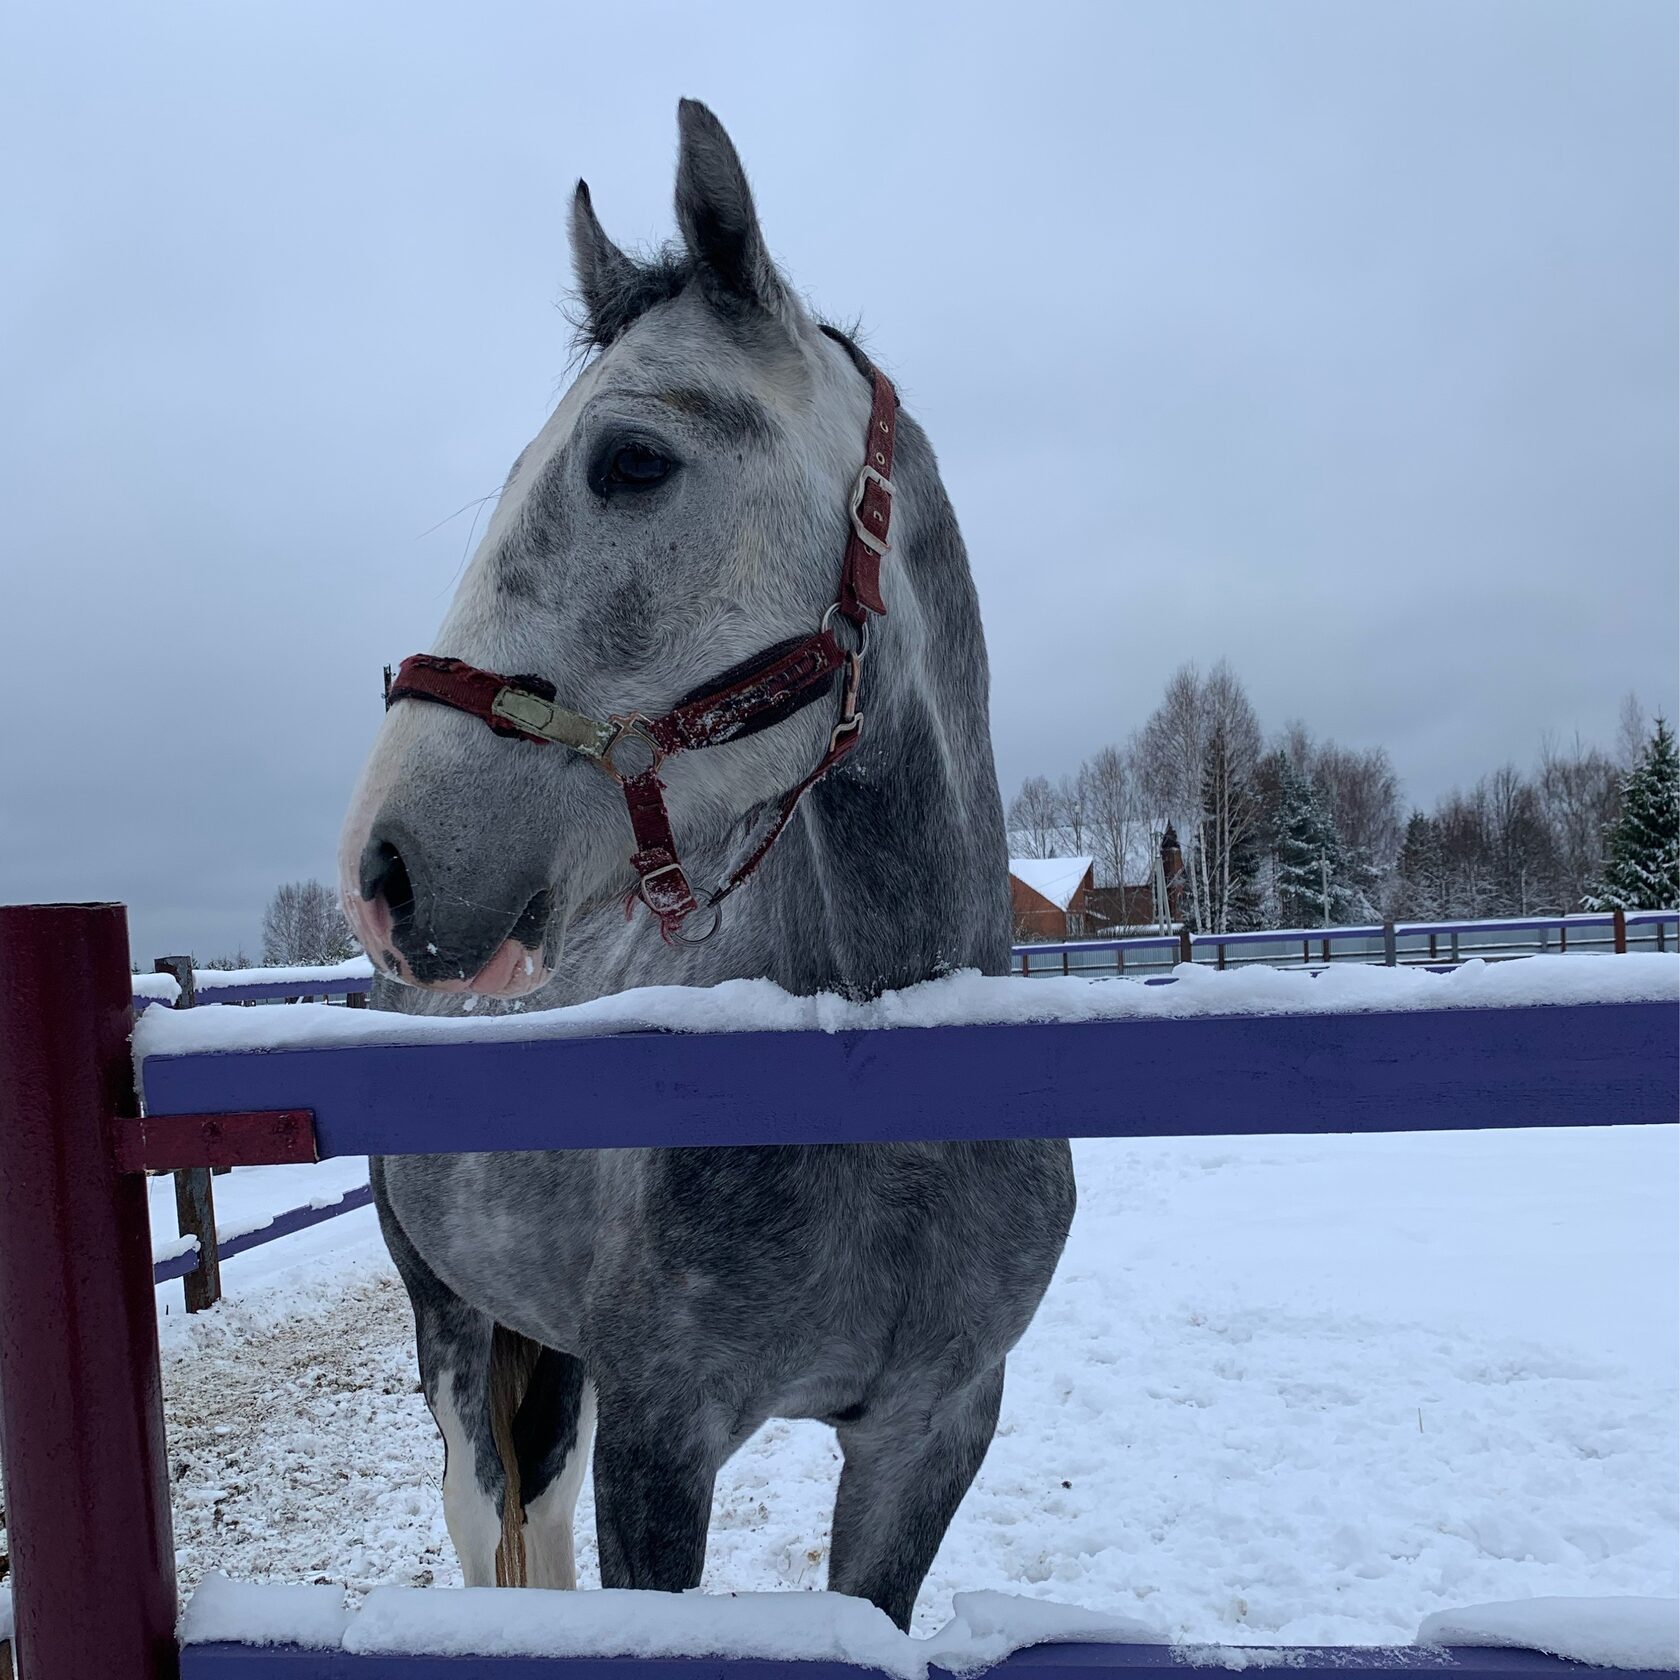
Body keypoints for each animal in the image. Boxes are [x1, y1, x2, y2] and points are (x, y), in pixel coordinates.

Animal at [341, 101, 1075, 1626]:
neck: (892, 1082)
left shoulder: (933, 1433)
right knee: (495, 1529)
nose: (388, 867)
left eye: (630, 460)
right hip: (456, 1328)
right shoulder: (663, 1436)